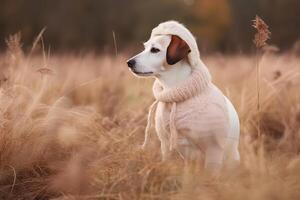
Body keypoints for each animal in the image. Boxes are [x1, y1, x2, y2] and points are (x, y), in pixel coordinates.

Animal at [126, 21, 239, 170]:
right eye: (145, 47)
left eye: (155, 50)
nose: (129, 62)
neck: (176, 93)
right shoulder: (166, 146)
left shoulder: (214, 150)